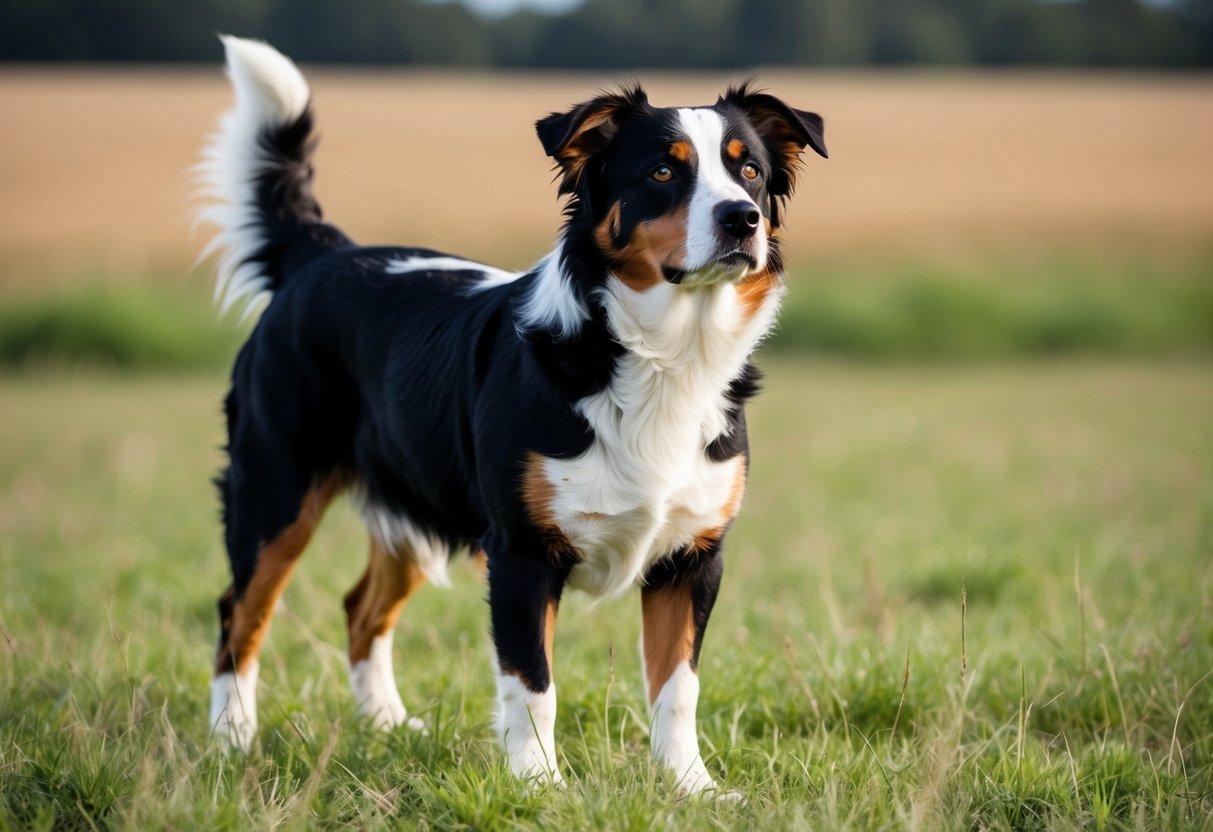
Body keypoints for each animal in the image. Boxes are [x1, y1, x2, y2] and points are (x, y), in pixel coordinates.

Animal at [198, 35, 824, 800]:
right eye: (661, 171)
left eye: (749, 171)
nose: (741, 219)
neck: (663, 357)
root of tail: (323, 256)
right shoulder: (522, 552)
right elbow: (532, 685)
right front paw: (538, 786)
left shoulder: (693, 556)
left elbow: (677, 686)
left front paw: (691, 786)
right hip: (276, 494)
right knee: (241, 613)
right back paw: (231, 740)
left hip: (415, 503)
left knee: (361, 608)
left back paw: (386, 723)